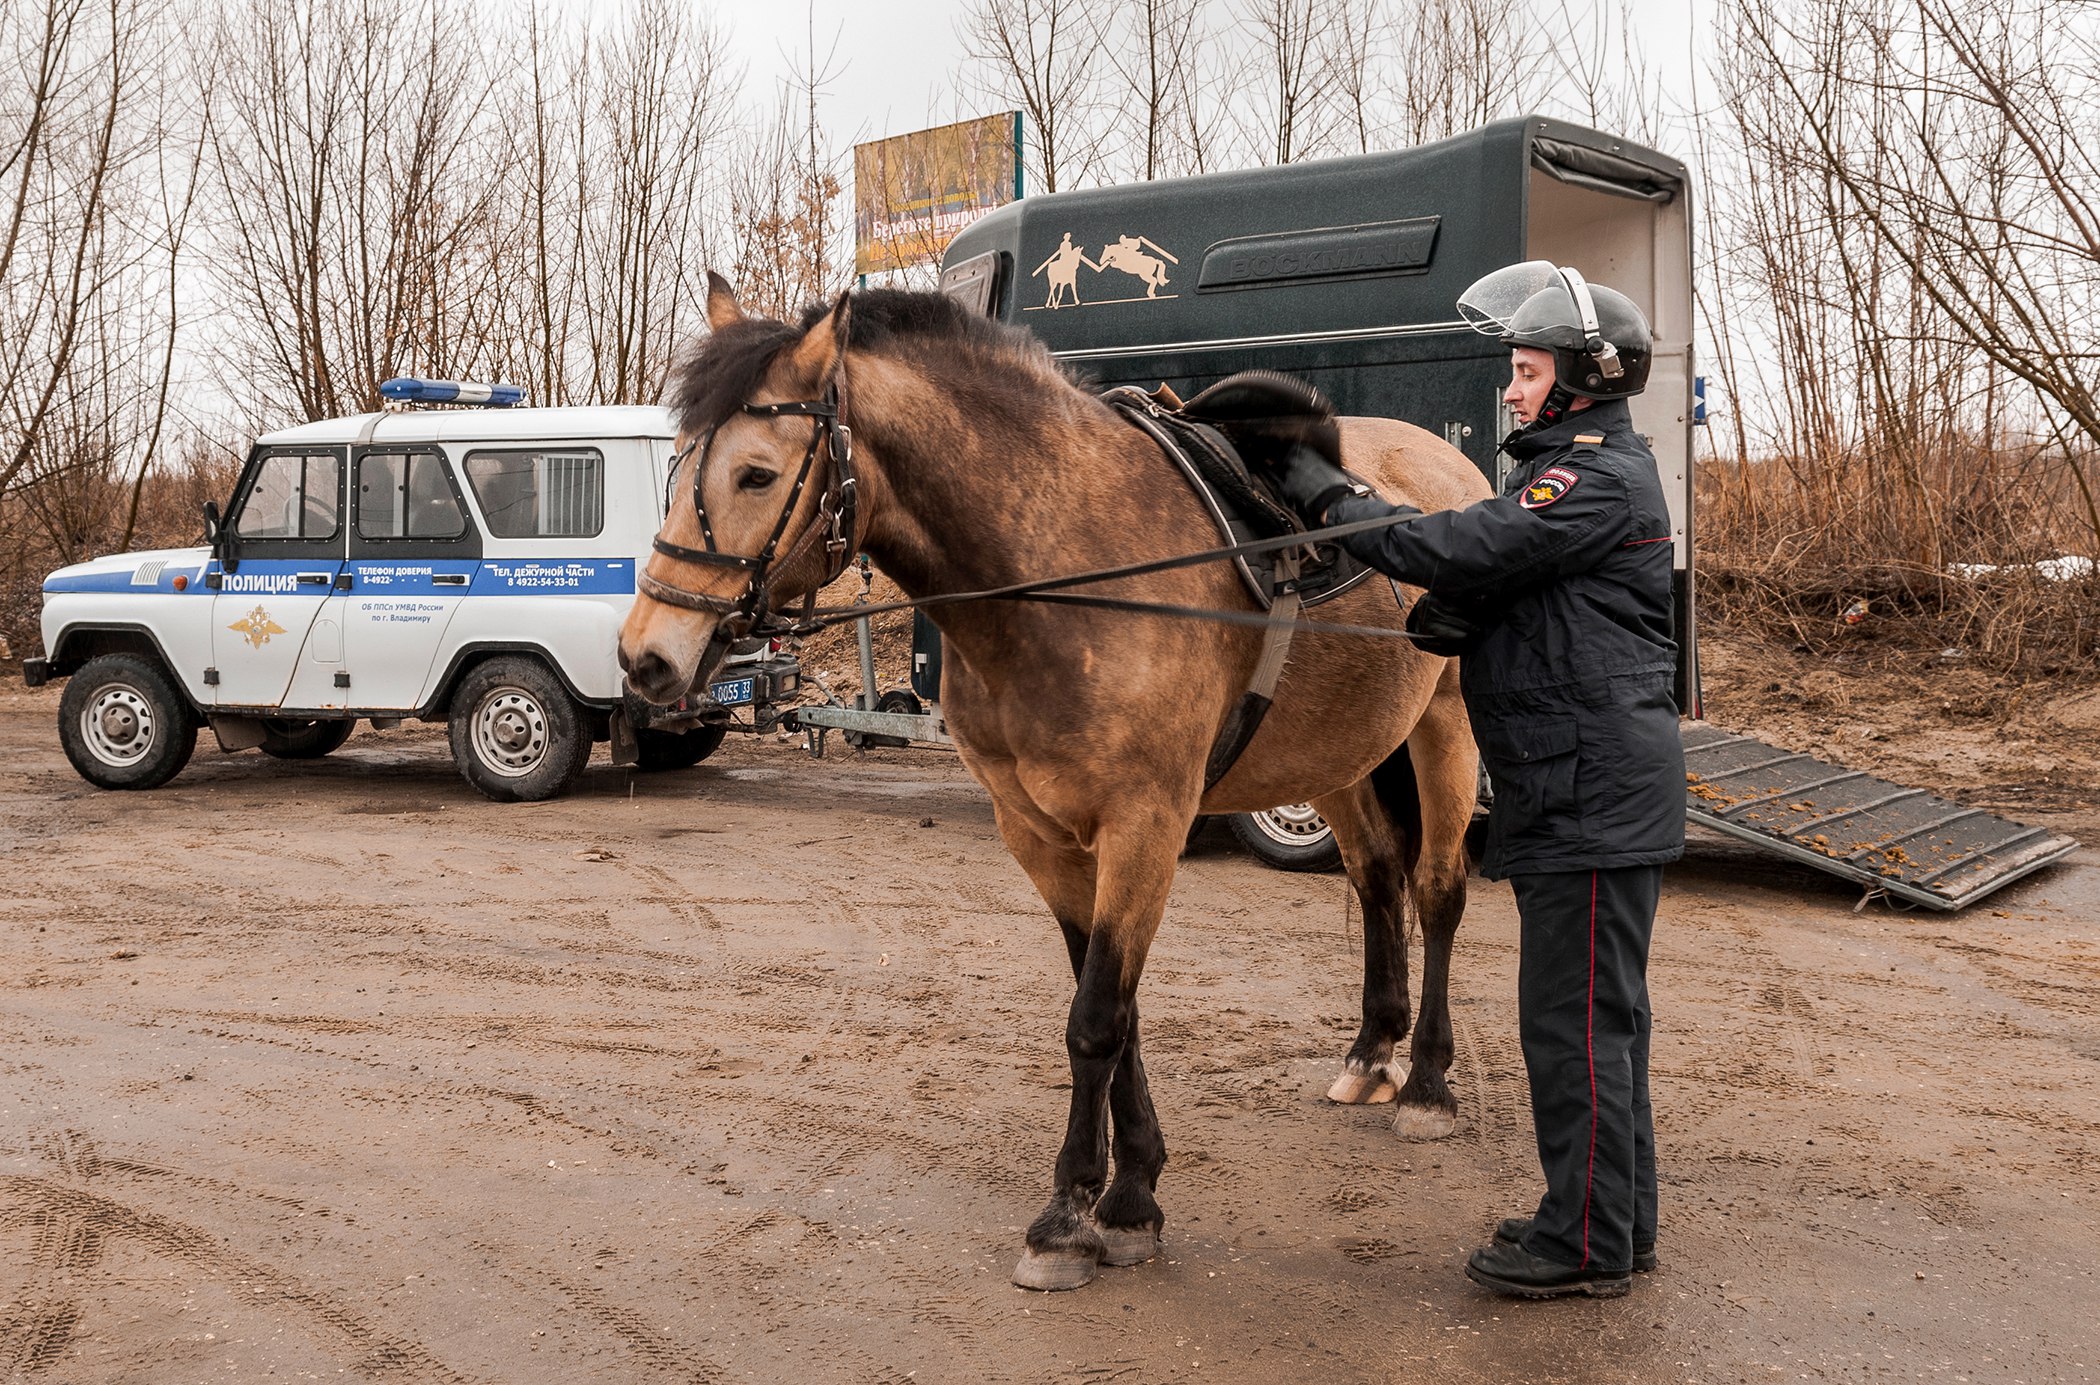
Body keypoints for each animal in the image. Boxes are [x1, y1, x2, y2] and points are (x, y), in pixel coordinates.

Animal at [617, 274, 1495, 1292]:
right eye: (679, 466)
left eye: (756, 475)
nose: (645, 656)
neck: (1066, 571)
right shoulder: (1039, 831)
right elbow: (1116, 1010)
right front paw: (1133, 1190)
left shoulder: (1145, 824)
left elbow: (1097, 1019)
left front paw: (1074, 1214)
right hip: (1337, 754)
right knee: (1379, 876)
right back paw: (1372, 1049)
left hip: (1445, 725)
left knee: (1436, 889)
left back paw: (1427, 1081)